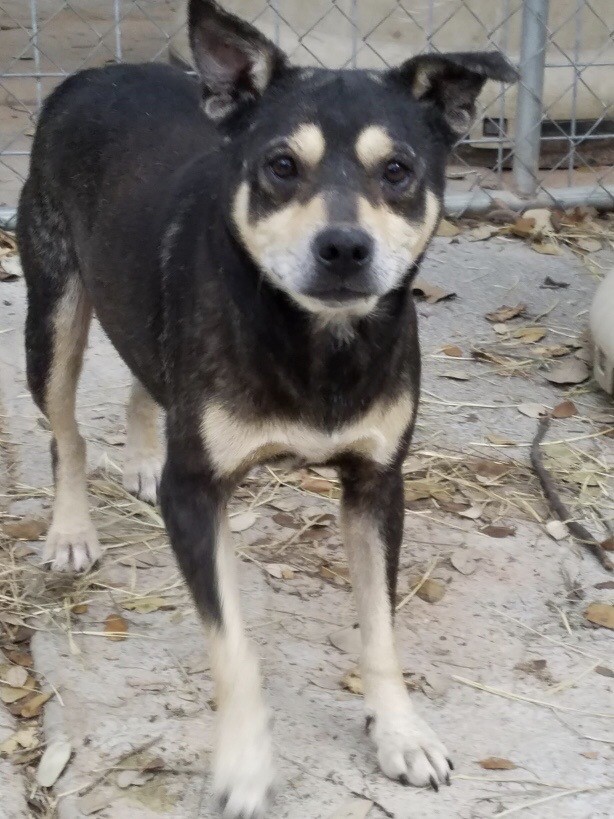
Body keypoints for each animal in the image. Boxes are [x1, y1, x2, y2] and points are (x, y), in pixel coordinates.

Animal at [16, 3, 516, 816]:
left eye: (398, 171)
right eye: (282, 166)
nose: (343, 247)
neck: (319, 342)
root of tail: (93, 73)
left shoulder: (378, 484)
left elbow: (381, 628)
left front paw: (400, 732)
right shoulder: (196, 496)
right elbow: (234, 648)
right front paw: (246, 764)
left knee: (144, 378)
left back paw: (143, 458)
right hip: (54, 310)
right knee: (65, 429)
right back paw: (70, 530)